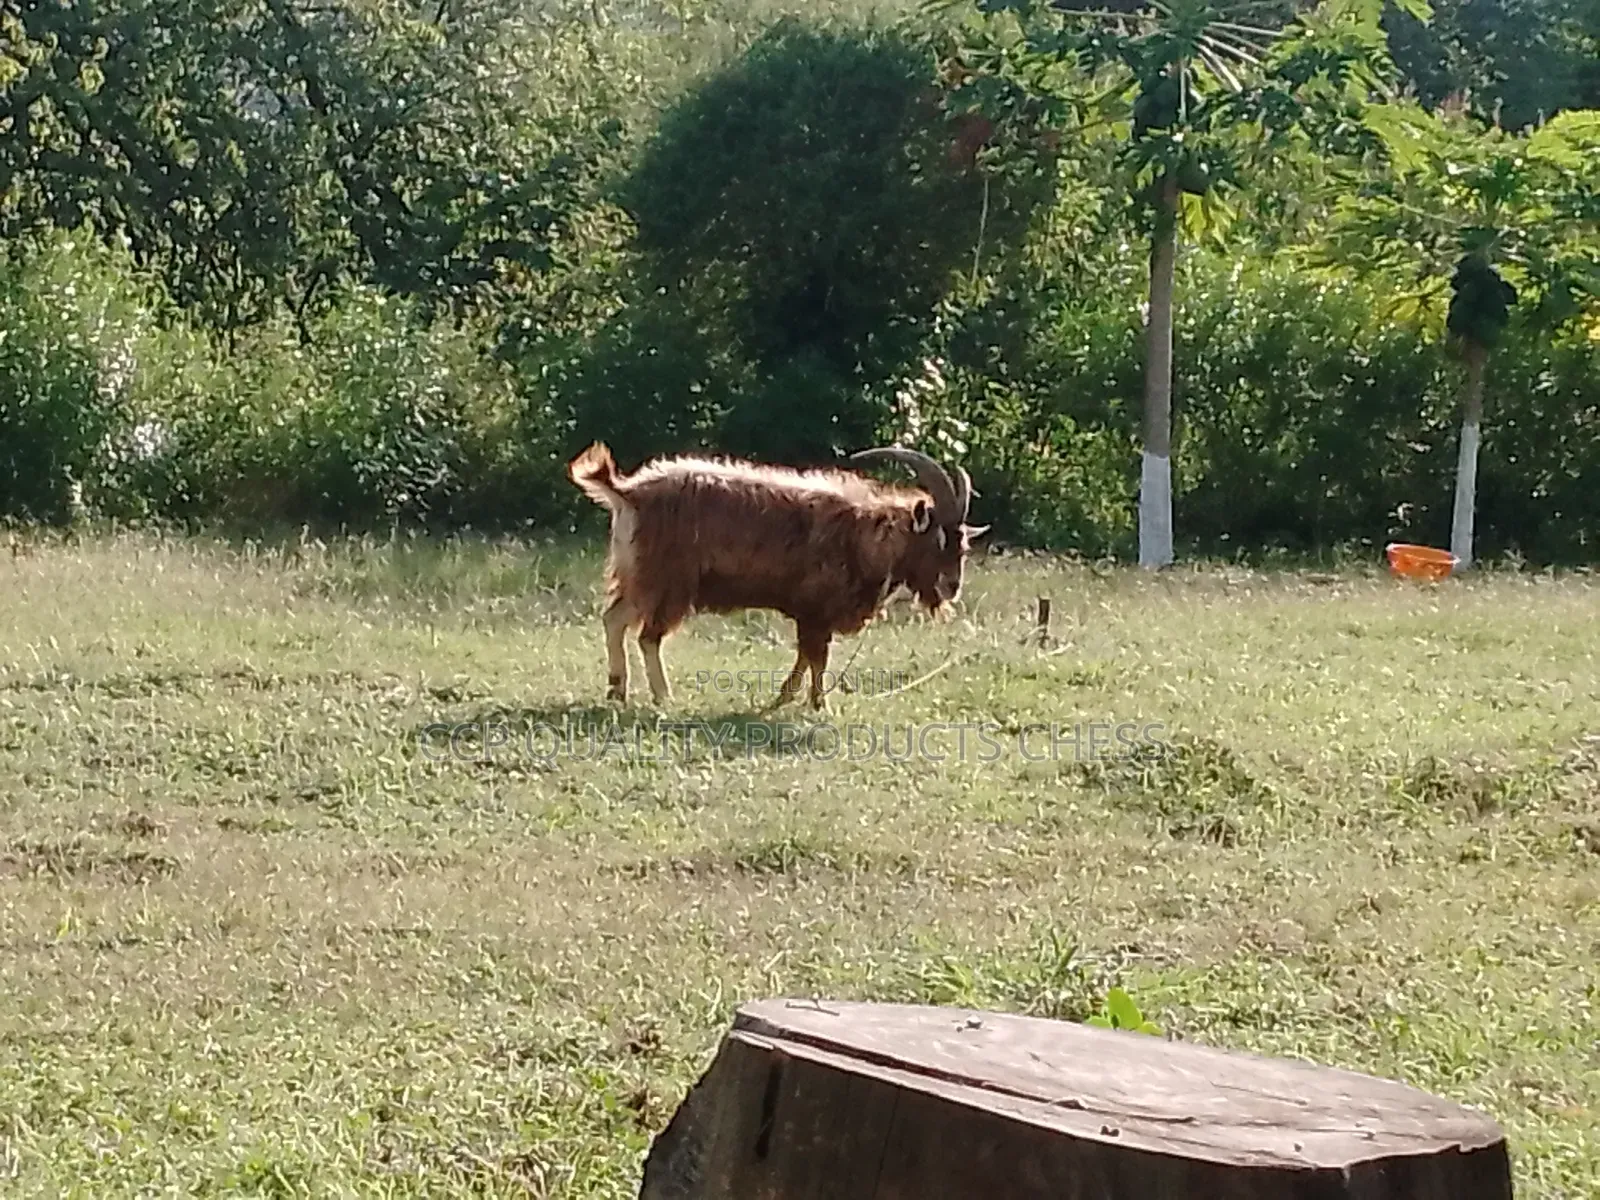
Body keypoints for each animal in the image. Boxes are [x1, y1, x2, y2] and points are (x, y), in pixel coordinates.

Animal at [567, 442, 986, 710]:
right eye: (938, 539)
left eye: (963, 544)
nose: (952, 587)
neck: (864, 532)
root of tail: (628, 494)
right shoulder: (816, 611)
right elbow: (817, 658)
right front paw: (818, 705)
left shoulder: (812, 614)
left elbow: (806, 656)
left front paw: (786, 697)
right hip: (667, 582)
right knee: (647, 637)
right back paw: (663, 696)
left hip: (640, 577)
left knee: (614, 619)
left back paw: (617, 690)